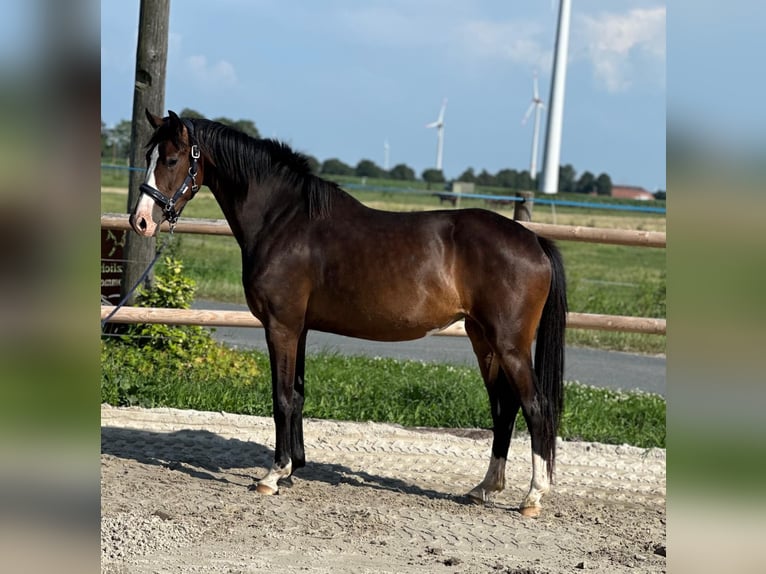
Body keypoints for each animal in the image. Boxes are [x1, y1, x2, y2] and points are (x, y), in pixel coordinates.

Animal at [130, 110, 568, 517]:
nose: (141, 221)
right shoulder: (300, 329)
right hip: (483, 340)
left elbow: (281, 397)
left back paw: (532, 497)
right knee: (503, 408)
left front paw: (273, 474)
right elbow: (298, 394)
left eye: (171, 159)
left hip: (509, 344)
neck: (284, 221)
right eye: (148, 155)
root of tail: (534, 241)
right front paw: (294, 468)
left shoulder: (281, 327)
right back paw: (484, 488)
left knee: (535, 407)